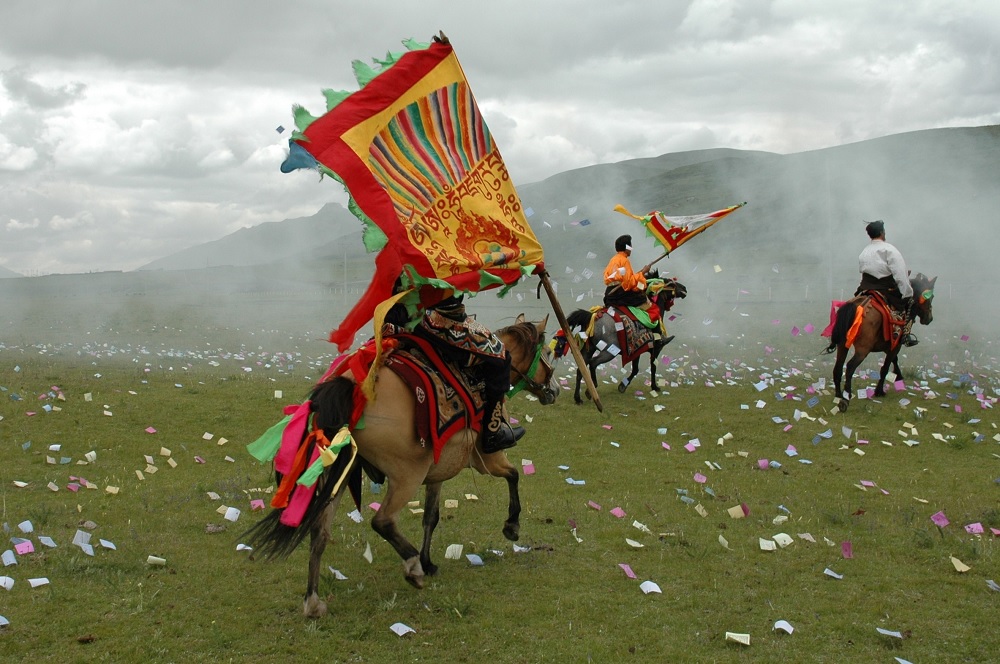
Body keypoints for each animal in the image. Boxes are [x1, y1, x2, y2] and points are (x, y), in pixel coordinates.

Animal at [242, 316, 556, 616]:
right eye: (548, 353)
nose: (553, 392)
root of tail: (354, 389)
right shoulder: (487, 459)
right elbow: (514, 475)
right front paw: (511, 527)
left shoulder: (437, 472)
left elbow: (431, 516)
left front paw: (429, 562)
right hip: (407, 475)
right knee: (382, 521)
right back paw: (413, 567)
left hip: (340, 472)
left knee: (319, 532)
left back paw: (313, 602)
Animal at [572, 276, 688, 404]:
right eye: (671, 283)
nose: (684, 288)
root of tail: (592, 317)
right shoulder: (654, 350)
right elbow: (650, 367)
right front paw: (653, 387)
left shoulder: (636, 351)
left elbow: (636, 369)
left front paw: (623, 386)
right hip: (609, 351)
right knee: (593, 363)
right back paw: (590, 390)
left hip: (589, 349)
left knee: (581, 369)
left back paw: (578, 398)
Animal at [828, 274, 936, 410]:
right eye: (931, 297)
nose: (929, 318)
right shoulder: (896, 344)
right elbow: (885, 367)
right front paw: (880, 391)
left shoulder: (888, 344)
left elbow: (894, 360)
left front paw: (898, 376)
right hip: (863, 349)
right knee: (850, 367)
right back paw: (845, 399)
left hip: (842, 345)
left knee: (838, 367)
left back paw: (838, 395)